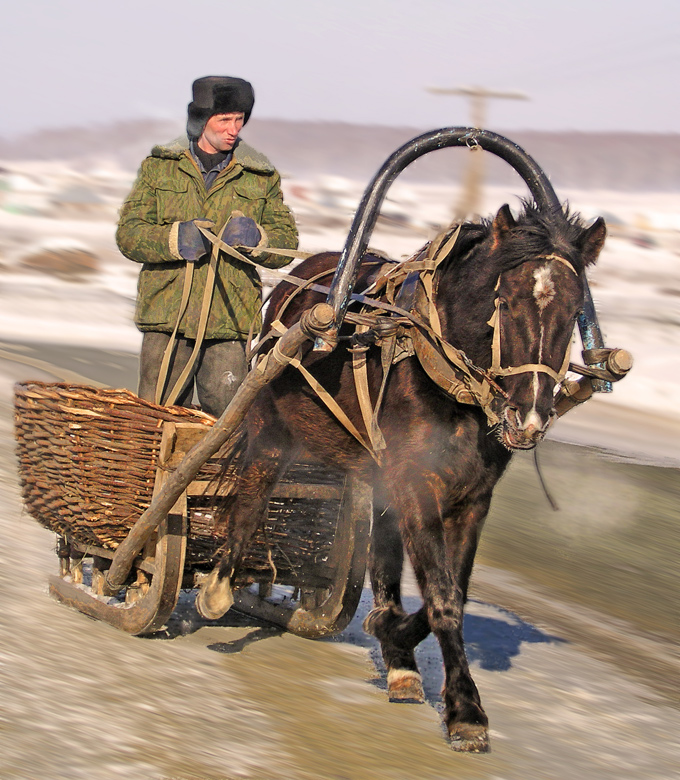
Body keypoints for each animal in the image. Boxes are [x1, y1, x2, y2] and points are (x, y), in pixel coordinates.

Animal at [195, 198, 604, 752]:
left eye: (575, 311)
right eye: (510, 301)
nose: (530, 419)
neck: (446, 373)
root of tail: (306, 275)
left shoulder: (473, 497)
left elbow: (450, 592)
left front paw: (395, 637)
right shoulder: (417, 483)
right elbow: (443, 598)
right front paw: (465, 710)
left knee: (382, 550)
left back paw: (398, 658)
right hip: (269, 426)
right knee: (251, 495)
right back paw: (220, 585)